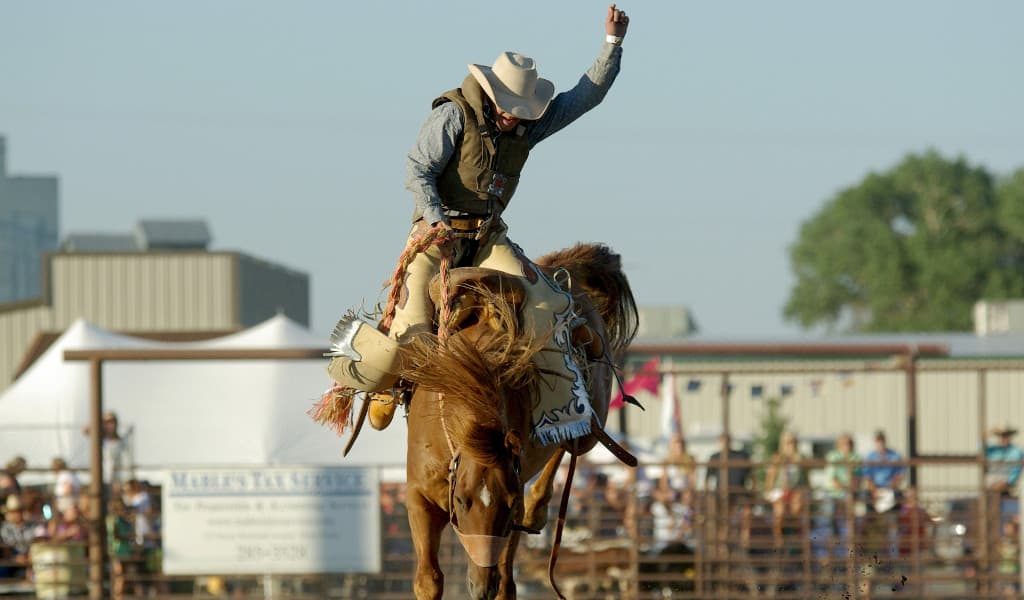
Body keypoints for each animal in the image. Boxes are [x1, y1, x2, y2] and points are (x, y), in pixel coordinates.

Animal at [397, 242, 630, 597]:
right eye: (462, 501)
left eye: (506, 507)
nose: (481, 587)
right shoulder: (418, 497)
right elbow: (428, 580)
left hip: (592, 424)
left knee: (571, 441)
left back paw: (536, 511)